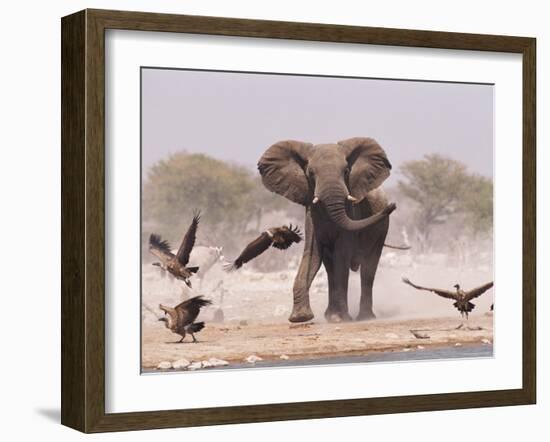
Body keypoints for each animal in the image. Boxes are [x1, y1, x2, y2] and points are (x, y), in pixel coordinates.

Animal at [258, 136, 396, 322]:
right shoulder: (311, 214)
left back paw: (365, 317)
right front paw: (301, 317)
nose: (393, 205)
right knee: (330, 266)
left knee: (368, 267)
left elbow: (341, 255)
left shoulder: (351, 212)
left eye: (346, 171)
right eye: (310, 173)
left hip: (381, 230)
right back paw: (331, 316)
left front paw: (341, 319)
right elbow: (312, 253)